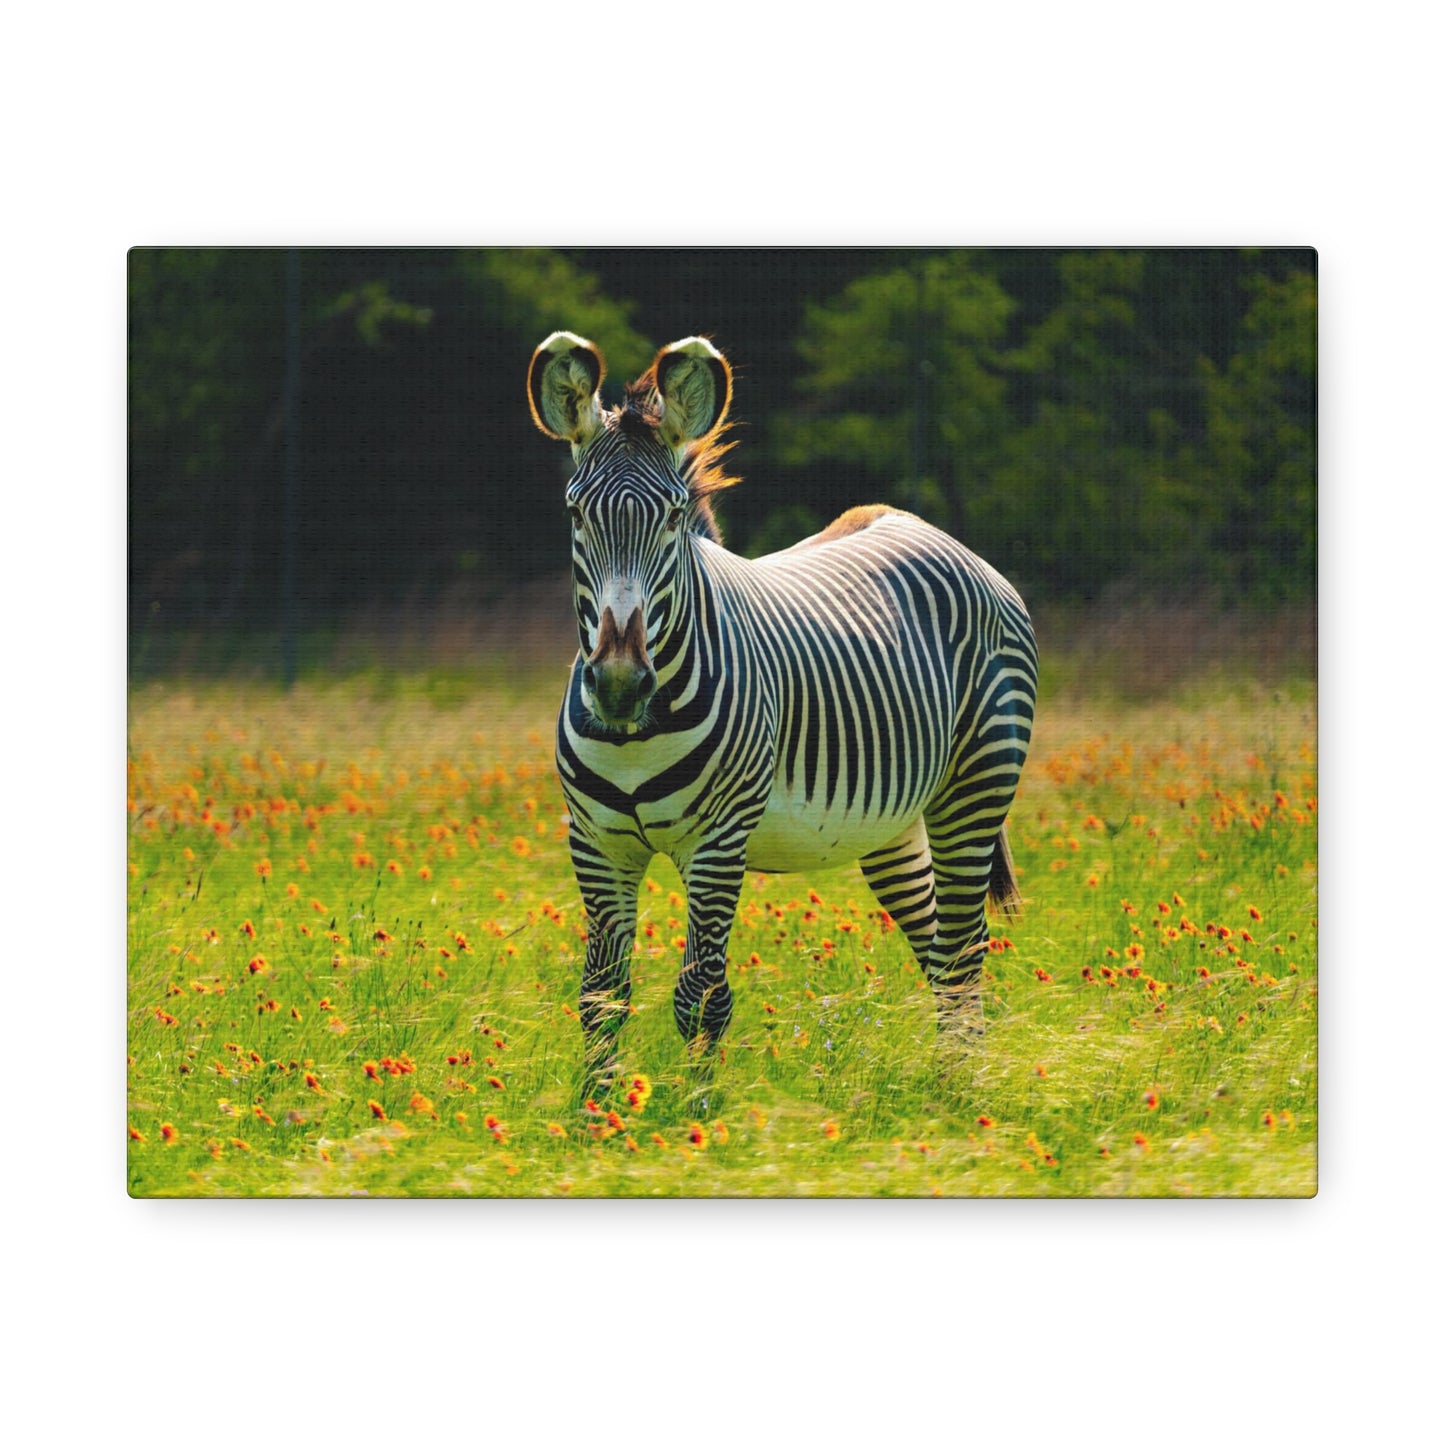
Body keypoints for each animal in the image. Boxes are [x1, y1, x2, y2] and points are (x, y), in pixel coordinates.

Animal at [528, 330, 1038, 1072]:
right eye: (575, 512)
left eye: (673, 516)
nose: (620, 684)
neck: (634, 738)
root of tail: (926, 528)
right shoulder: (596, 843)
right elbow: (600, 997)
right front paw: (598, 1105)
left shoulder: (718, 841)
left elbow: (701, 997)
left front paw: (696, 1107)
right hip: (891, 825)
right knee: (941, 956)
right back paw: (949, 1084)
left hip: (973, 790)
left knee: (964, 953)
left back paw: (962, 1090)